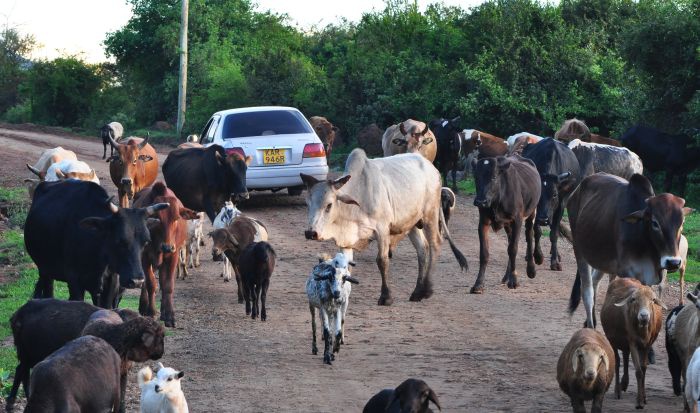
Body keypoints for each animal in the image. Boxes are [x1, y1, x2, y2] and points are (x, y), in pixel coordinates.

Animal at [23, 180, 168, 306]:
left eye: (146, 242)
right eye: (120, 239)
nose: (137, 281)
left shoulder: (111, 284)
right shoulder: (74, 281)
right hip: (44, 270)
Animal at [300, 146, 464, 304]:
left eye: (329, 205)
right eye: (308, 204)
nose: (311, 233)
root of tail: (432, 168)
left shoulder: (382, 230)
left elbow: (382, 261)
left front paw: (386, 297)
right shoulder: (347, 241)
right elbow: (344, 266)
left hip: (430, 214)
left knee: (435, 244)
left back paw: (427, 289)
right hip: (412, 224)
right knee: (422, 249)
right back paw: (417, 292)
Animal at [470, 154, 540, 292]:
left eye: (493, 177)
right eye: (476, 177)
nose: (480, 201)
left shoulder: (517, 220)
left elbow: (513, 249)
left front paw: (514, 280)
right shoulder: (483, 222)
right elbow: (484, 253)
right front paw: (478, 283)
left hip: (531, 213)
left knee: (529, 236)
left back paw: (531, 270)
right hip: (508, 225)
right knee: (509, 243)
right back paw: (506, 277)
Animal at [572, 172, 692, 326]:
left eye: (682, 222)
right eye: (655, 223)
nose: (673, 262)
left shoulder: (647, 277)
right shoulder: (626, 273)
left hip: (603, 261)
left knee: (594, 282)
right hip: (579, 250)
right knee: (587, 291)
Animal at [600, 276, 664, 408]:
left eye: (653, 300)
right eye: (634, 299)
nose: (644, 316)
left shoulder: (647, 345)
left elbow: (643, 369)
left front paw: (644, 398)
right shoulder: (633, 342)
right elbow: (639, 371)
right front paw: (639, 402)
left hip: (626, 343)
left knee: (625, 356)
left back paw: (624, 383)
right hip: (612, 339)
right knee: (618, 361)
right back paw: (618, 391)